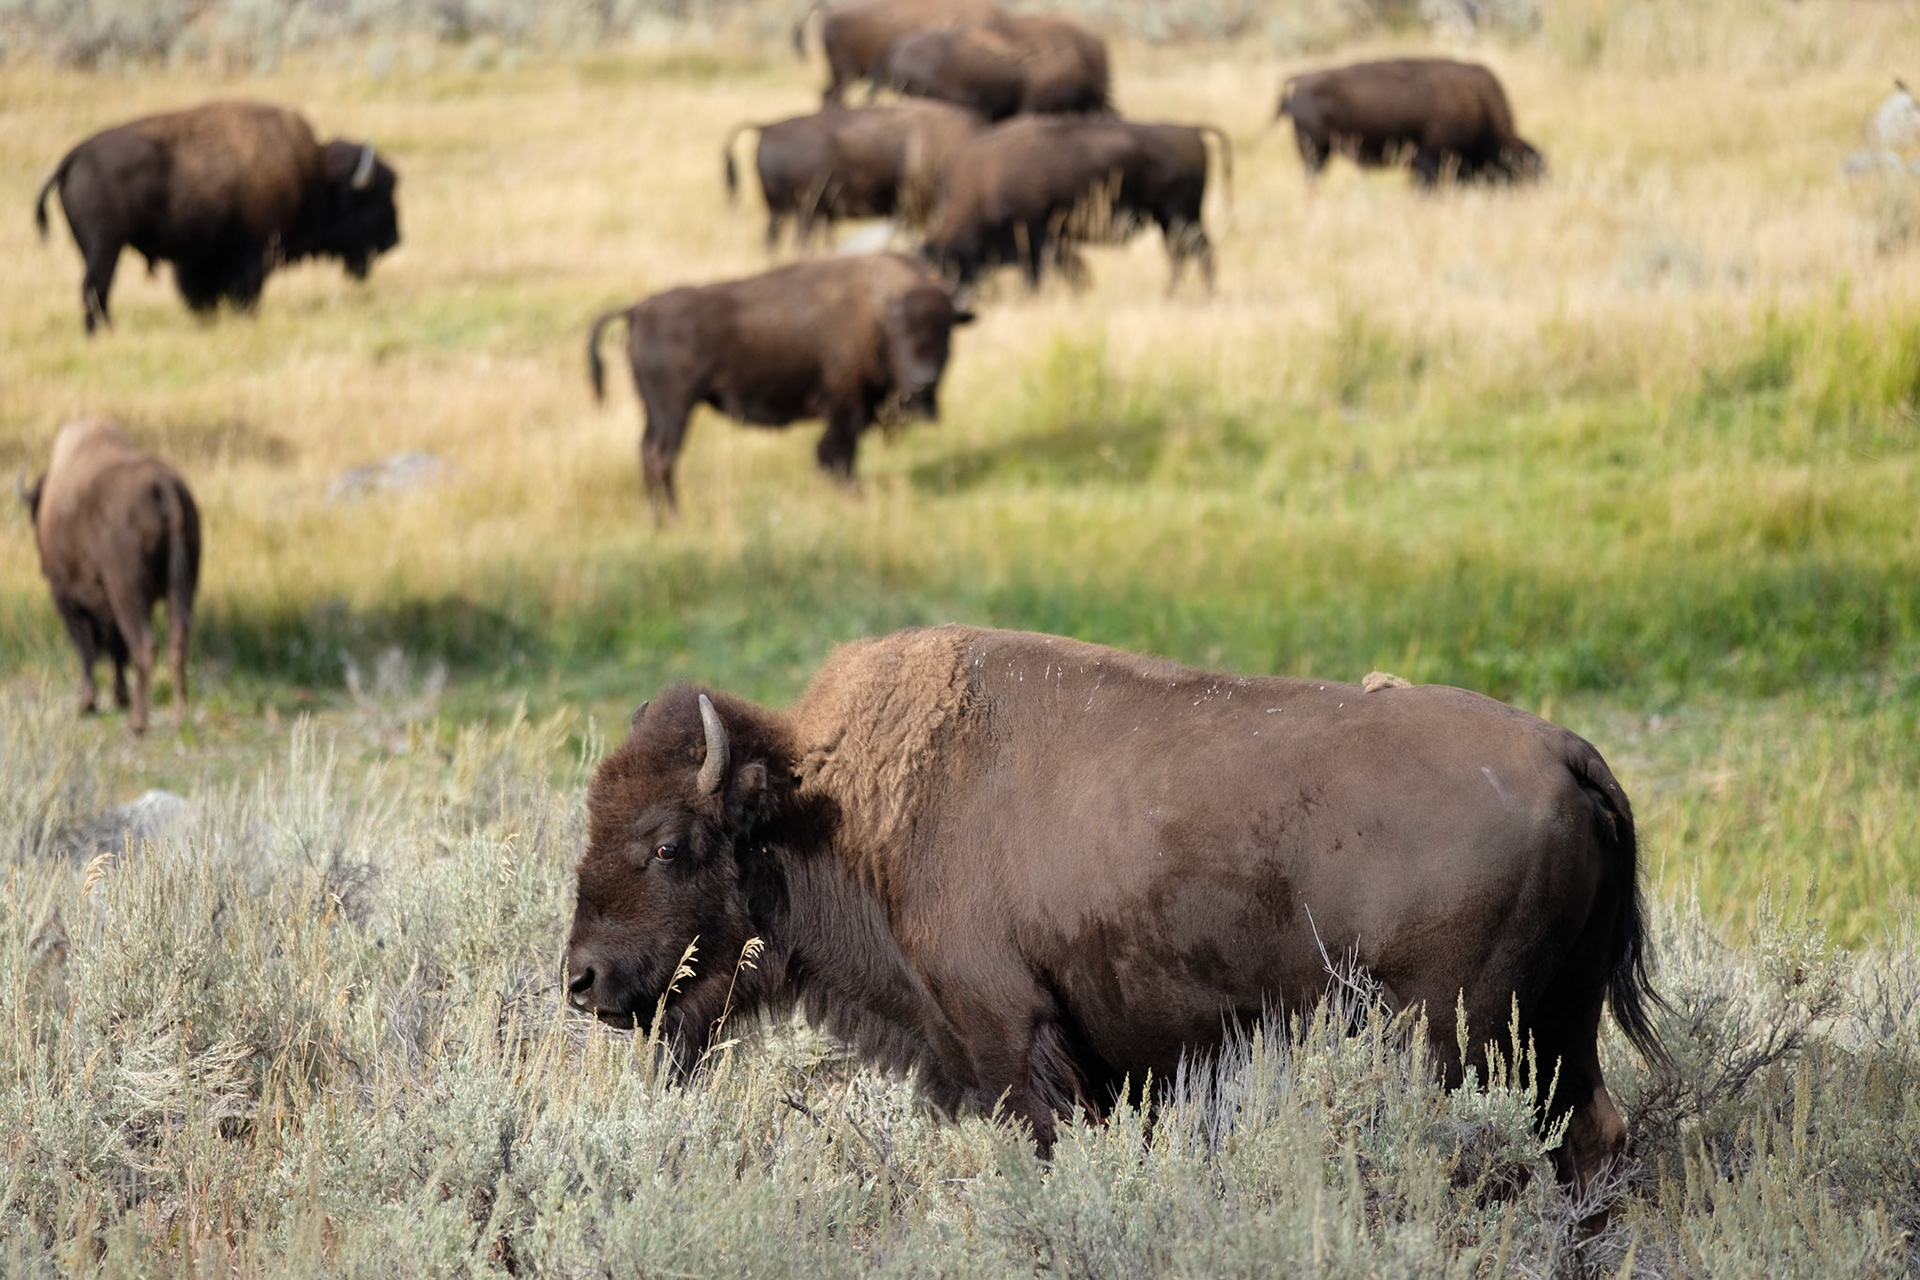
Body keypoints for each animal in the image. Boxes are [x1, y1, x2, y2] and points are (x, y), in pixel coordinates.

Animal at [18, 420, 200, 735]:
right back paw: (178, 717)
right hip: (182, 589)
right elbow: (116, 646)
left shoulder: (66, 596)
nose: (40, 565)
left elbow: (88, 647)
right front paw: (118, 696)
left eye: (32, 515)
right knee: (177, 643)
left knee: (143, 645)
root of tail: (162, 484)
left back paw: (137, 722)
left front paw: (87, 702)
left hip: (127, 592)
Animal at [34, 99, 401, 332]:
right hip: (106, 246)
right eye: (374, 199)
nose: (394, 240)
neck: (309, 177)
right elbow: (245, 291)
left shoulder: (202, 257)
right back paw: (105, 332)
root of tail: (76, 155)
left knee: (95, 289)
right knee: (96, 287)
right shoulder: (253, 252)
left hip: (92, 248)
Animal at [564, 626, 1665, 1192]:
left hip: (1458, 1034)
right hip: (1560, 1025)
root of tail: (1569, 752)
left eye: (669, 842)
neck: (832, 799)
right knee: (1589, 1138)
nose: (582, 977)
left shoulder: (1013, 1039)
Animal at [585, 254, 973, 515]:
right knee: (661, 456)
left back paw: (659, 518)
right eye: (901, 331)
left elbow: (839, 454)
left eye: (946, 331)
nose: (925, 380)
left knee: (647, 452)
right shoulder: (845, 405)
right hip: (674, 410)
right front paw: (852, 495)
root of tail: (639, 309)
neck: (876, 316)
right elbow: (837, 453)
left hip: (655, 412)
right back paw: (675, 516)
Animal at [923, 116, 1231, 291]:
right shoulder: (1049, 241)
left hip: (1181, 216)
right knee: (1182, 254)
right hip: (1170, 220)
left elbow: (1038, 276)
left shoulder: (1035, 238)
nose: (952, 297)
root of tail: (1190, 131)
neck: (985, 180)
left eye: (948, 263)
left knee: (1198, 252)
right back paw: (1173, 294)